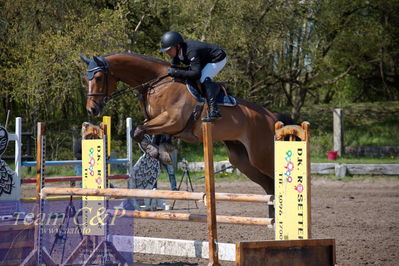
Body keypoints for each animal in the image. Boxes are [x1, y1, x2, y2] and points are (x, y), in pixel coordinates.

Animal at [81, 52, 294, 197]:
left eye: (98, 78)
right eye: (86, 78)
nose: (92, 109)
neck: (156, 83)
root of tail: (273, 118)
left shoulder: (172, 120)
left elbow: (139, 130)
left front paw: (158, 153)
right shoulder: (160, 122)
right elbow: (139, 132)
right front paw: (160, 152)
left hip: (261, 155)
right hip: (242, 160)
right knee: (269, 185)